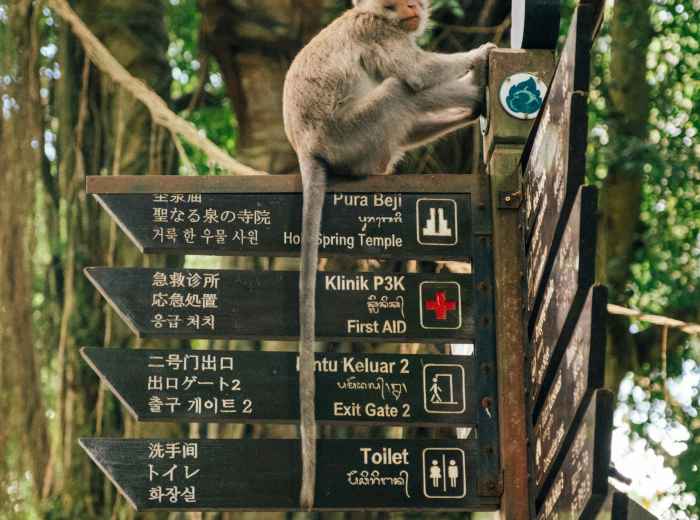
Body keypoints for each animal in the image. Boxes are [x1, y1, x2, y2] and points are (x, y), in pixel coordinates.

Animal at [282, 0, 495, 510]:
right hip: (351, 135)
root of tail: (307, 150)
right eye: (397, 3)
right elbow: (417, 73)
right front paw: (481, 54)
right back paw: (471, 91)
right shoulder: (375, 33)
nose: (414, 8)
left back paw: (469, 107)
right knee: (400, 91)